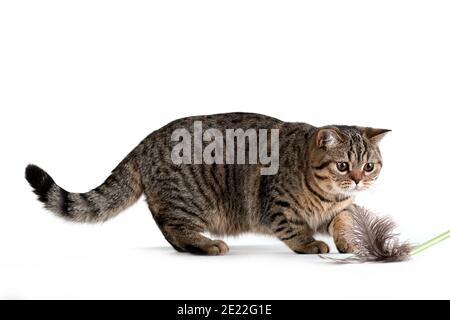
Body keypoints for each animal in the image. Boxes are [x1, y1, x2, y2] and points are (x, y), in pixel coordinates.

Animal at [25, 112, 390, 255]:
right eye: (343, 166)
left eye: (369, 166)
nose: (358, 180)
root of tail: (146, 141)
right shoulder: (277, 206)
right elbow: (294, 229)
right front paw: (309, 244)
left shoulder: (341, 208)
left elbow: (345, 218)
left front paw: (349, 241)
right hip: (190, 200)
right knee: (173, 228)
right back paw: (205, 244)